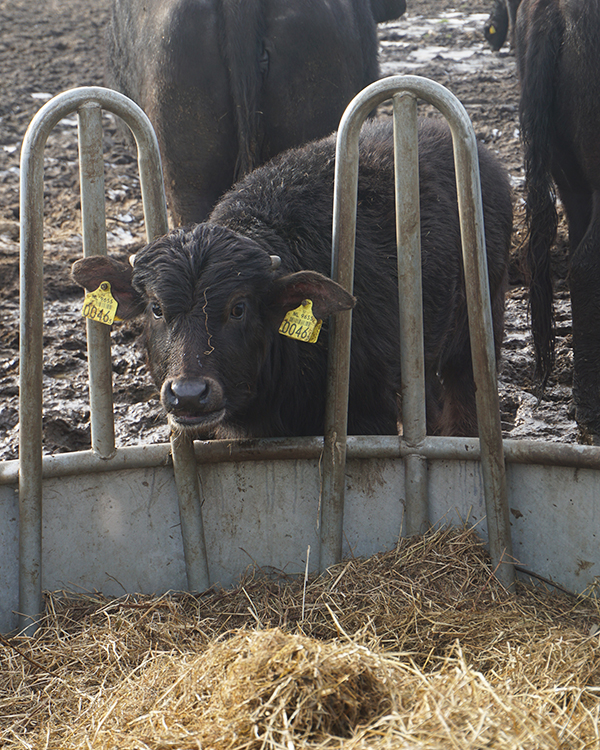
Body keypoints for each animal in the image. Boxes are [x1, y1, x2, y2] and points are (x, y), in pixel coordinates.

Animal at [72, 119, 512, 440]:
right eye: (157, 308)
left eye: (239, 308)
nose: (189, 395)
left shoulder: (370, 410)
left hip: (479, 319)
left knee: (465, 387)